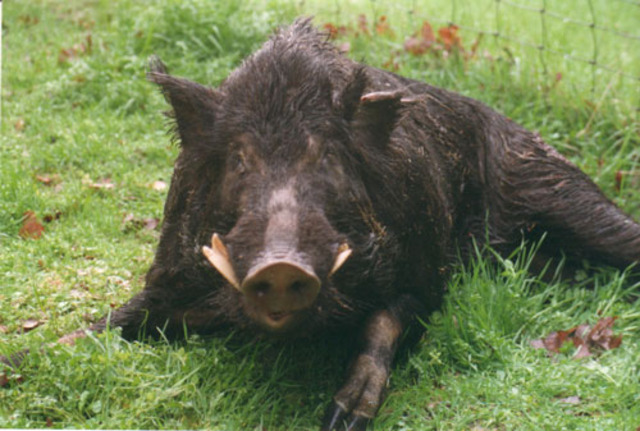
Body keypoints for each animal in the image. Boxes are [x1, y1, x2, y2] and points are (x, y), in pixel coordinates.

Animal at [3, 17, 640, 431]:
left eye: (329, 158)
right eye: (239, 159)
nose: (281, 263)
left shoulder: (428, 271)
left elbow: (385, 321)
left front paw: (341, 418)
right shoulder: (168, 279)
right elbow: (100, 326)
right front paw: (19, 362)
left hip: (560, 188)